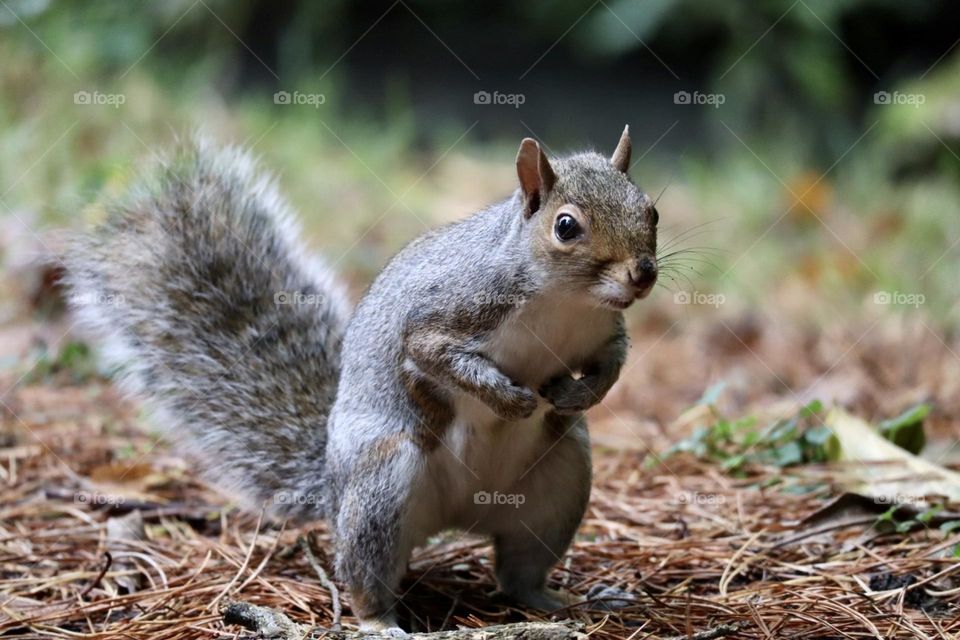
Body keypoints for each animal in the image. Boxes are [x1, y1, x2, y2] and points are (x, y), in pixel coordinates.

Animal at [65, 126, 659, 634]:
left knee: (518, 571)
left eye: (651, 210)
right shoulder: (445, 315)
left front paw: (576, 394)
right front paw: (509, 399)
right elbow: (436, 356)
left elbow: (612, 364)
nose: (643, 274)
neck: (566, 301)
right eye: (566, 226)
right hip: (383, 484)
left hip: (561, 483)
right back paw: (380, 622)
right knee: (366, 577)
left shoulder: (603, 334)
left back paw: (559, 598)